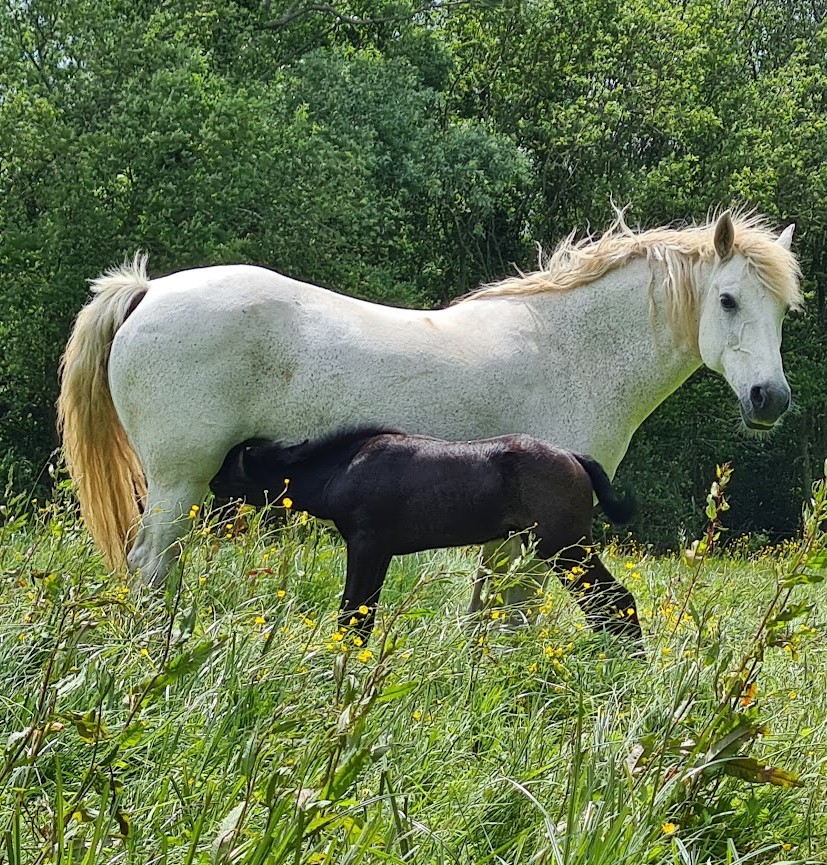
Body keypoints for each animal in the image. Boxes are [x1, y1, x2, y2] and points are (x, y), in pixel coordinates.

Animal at [56, 209, 804, 604]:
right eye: (727, 300)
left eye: (784, 311)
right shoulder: (541, 537)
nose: (770, 399)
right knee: (150, 569)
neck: (571, 347)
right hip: (178, 482)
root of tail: (150, 290)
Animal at [212, 430, 640, 640]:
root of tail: (574, 457)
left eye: (230, 469)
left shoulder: (365, 545)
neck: (343, 467)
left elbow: (351, 613)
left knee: (614, 599)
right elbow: (364, 614)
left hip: (563, 546)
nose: (212, 483)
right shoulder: (380, 552)